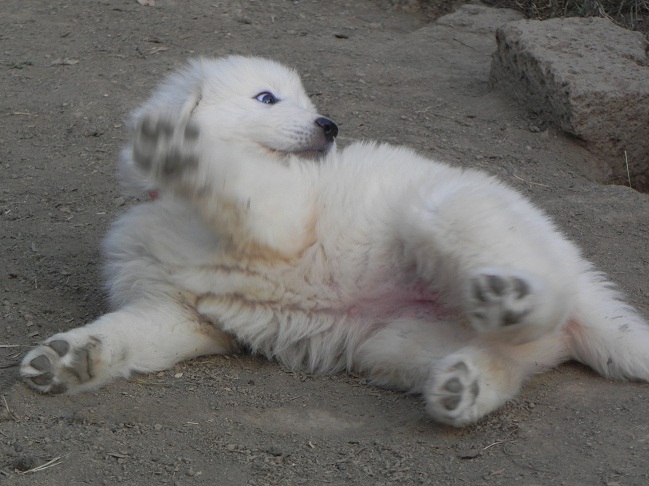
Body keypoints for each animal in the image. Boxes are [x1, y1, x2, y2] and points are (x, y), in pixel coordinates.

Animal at [20, 56, 649, 426]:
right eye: (268, 98)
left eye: (306, 102)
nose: (329, 125)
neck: (172, 205)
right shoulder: (176, 311)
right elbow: (129, 331)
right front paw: (71, 359)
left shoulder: (281, 213)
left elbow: (233, 180)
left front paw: (182, 148)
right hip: (397, 343)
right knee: (507, 359)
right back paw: (462, 387)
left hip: (450, 212)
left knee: (538, 293)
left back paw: (512, 302)